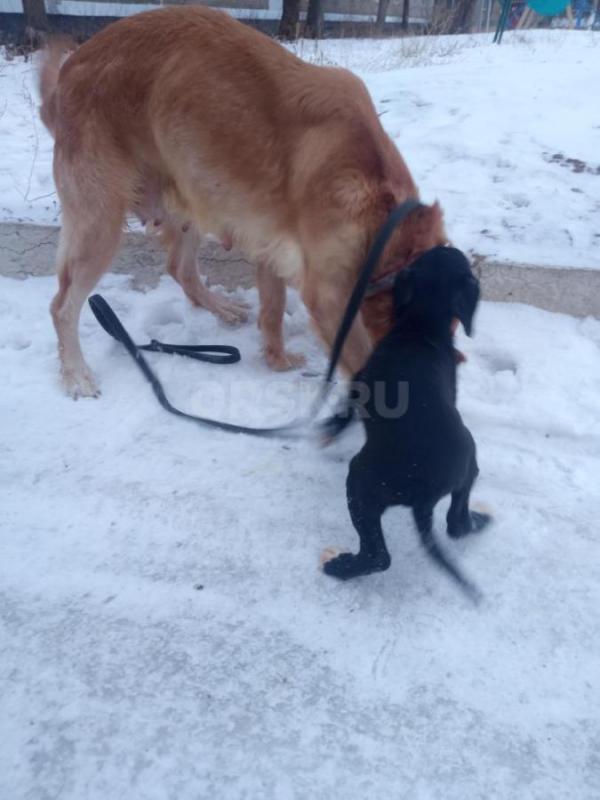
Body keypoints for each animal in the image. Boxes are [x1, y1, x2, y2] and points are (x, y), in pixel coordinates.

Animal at [38, 3, 446, 396]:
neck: (386, 209)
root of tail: (67, 75)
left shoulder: (273, 248)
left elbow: (274, 311)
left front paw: (276, 360)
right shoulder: (328, 295)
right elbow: (357, 358)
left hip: (192, 194)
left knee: (180, 268)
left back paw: (220, 307)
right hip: (101, 223)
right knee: (61, 307)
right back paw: (75, 374)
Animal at [322, 247, 490, 604]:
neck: (421, 326)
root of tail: (425, 496)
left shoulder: (360, 380)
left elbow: (347, 407)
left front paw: (330, 426)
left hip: (361, 484)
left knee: (379, 557)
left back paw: (342, 567)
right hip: (469, 468)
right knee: (455, 523)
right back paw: (478, 521)